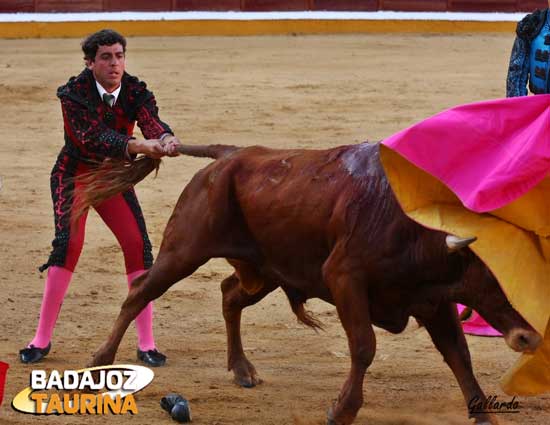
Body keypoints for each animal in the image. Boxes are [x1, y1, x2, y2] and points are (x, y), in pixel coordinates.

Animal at [88, 142, 540, 424]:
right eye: (494, 275)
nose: (530, 337)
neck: (414, 229)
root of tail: (229, 154)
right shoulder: (345, 279)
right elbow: (364, 346)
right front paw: (342, 410)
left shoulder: (433, 300)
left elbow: (458, 355)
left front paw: (483, 413)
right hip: (184, 251)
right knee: (140, 292)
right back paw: (100, 360)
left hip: (265, 271)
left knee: (230, 295)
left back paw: (242, 369)